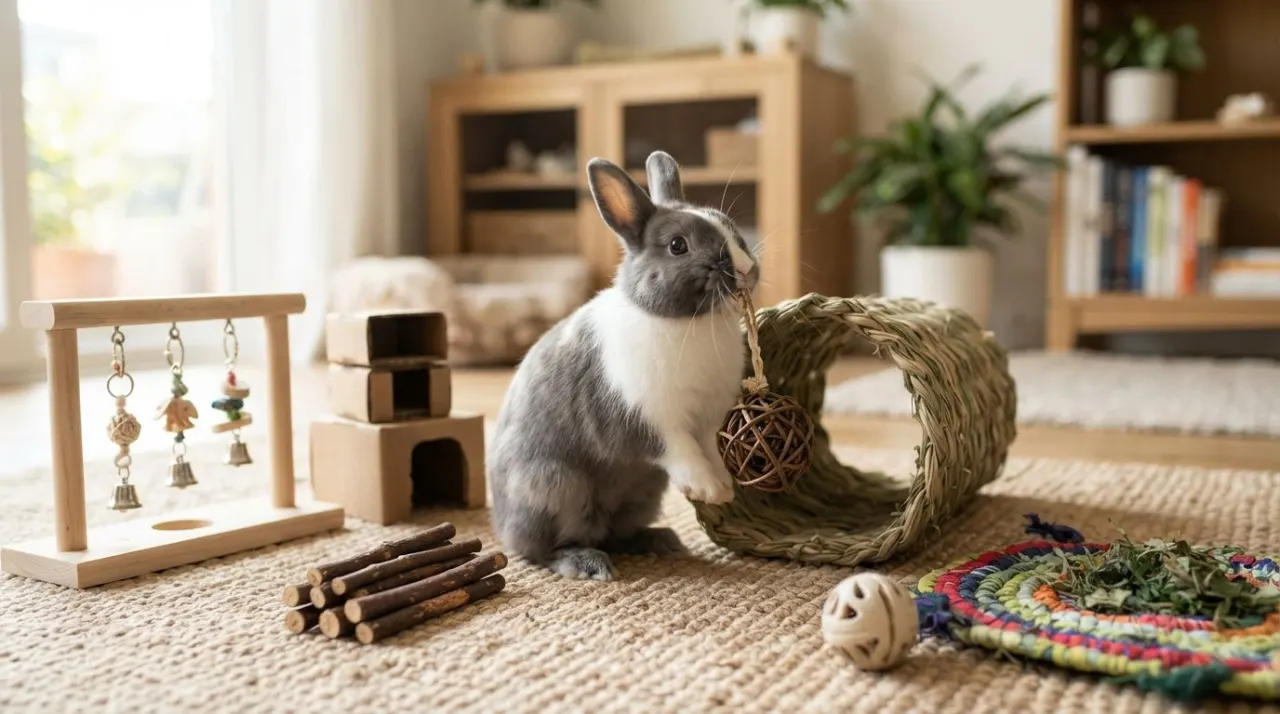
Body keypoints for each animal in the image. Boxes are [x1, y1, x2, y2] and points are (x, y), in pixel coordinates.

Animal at [488, 150, 761, 581]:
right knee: (541, 550)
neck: (687, 321)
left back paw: (661, 541)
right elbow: (680, 450)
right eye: (678, 246)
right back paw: (588, 564)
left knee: (616, 534)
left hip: (642, 492)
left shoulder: (707, 420)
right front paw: (709, 489)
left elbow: (709, 449)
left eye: (732, 228)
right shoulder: (646, 419)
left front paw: (725, 487)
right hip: (556, 488)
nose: (747, 270)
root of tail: (501, 525)